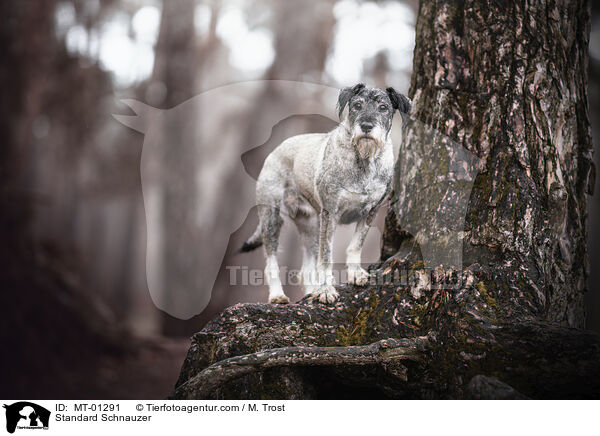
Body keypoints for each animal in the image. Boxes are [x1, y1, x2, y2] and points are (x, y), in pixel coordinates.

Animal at [241, 84, 410, 304]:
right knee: (271, 262)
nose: (366, 126)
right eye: (357, 105)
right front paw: (326, 290)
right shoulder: (331, 213)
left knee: (306, 267)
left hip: (311, 226)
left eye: (383, 107)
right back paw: (278, 295)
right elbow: (326, 257)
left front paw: (355, 273)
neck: (363, 161)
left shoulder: (370, 211)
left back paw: (310, 291)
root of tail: (276, 150)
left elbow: (356, 244)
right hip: (272, 218)